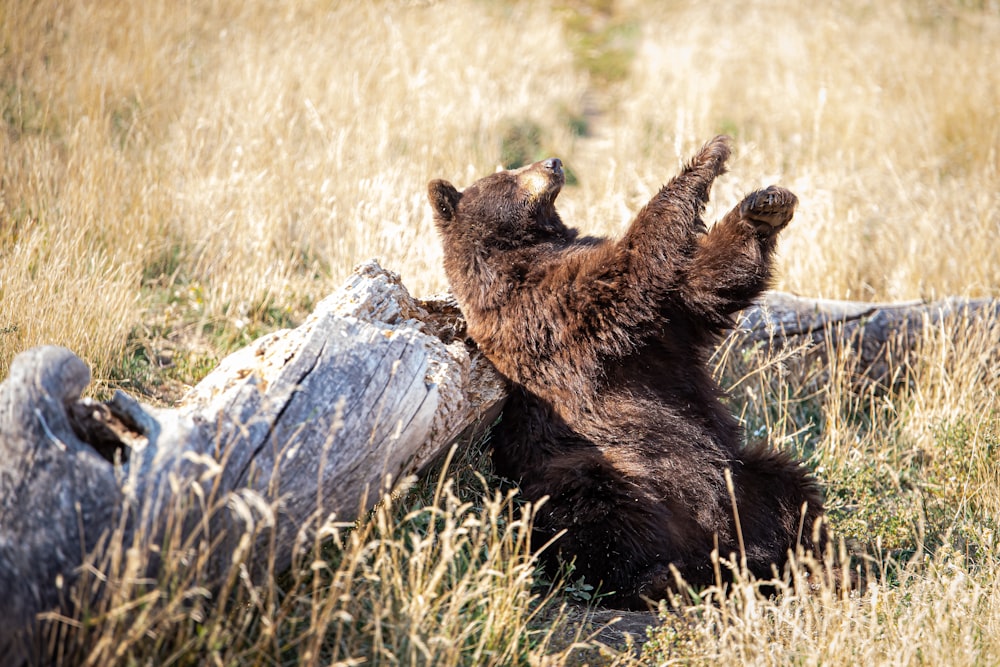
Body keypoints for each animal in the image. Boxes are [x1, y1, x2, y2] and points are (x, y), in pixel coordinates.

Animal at [426, 136, 824, 612]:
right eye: (506, 174)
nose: (553, 163)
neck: (522, 248)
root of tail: (709, 539)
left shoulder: (663, 323)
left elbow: (705, 284)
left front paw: (765, 206)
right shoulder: (543, 306)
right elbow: (631, 268)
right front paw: (706, 158)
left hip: (741, 477)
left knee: (787, 488)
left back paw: (807, 561)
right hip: (593, 464)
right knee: (598, 511)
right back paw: (658, 580)